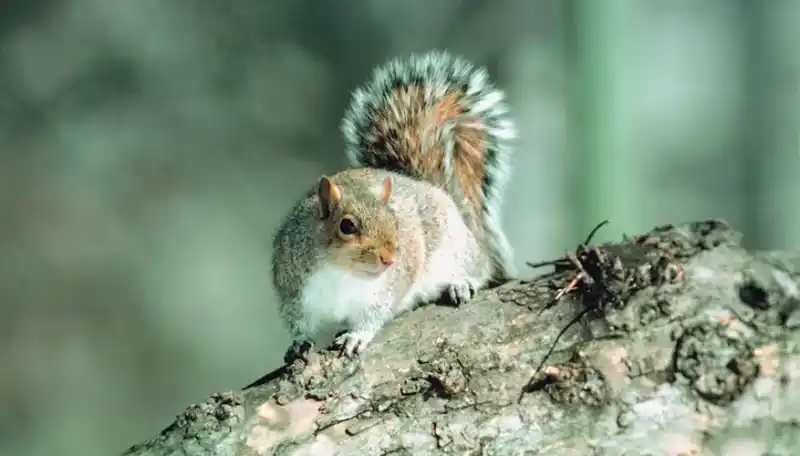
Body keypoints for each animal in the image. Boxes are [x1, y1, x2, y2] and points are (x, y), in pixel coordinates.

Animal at [272, 50, 517, 361]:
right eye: (347, 226)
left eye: (395, 222)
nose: (390, 259)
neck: (340, 270)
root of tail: (438, 190)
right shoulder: (293, 290)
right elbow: (297, 322)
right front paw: (298, 342)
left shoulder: (385, 290)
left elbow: (374, 315)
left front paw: (357, 336)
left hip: (456, 249)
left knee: (479, 267)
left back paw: (462, 283)